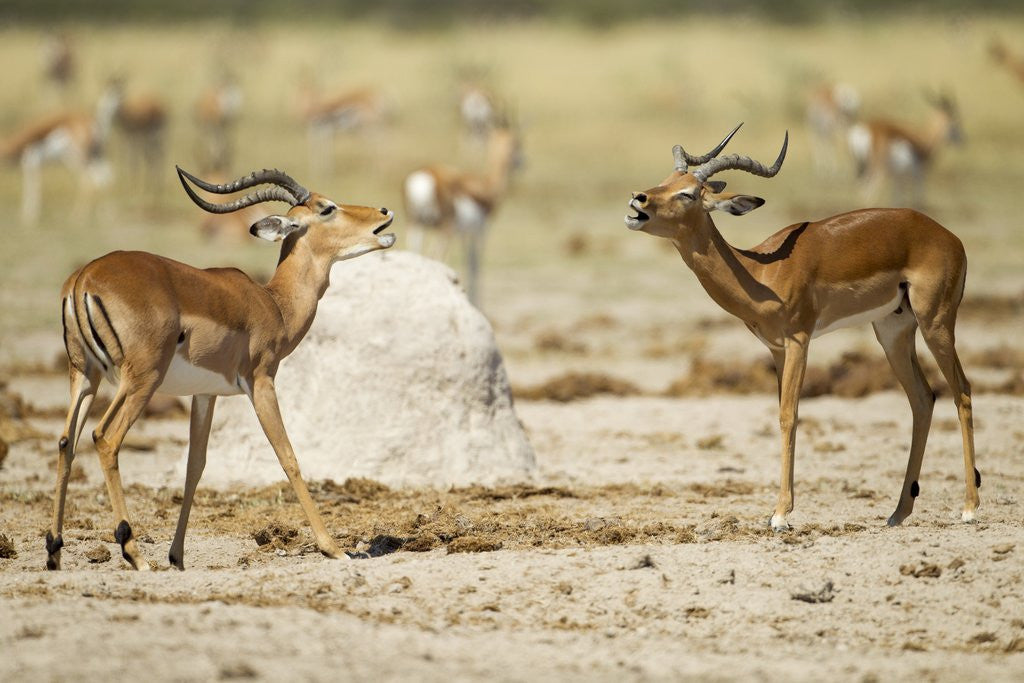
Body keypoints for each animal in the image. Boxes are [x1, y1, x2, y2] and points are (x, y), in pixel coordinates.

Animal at [1, 89, 119, 225]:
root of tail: (95, 124)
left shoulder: (32, 164)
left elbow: (32, 187)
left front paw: (29, 217)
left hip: (77, 159)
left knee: (88, 181)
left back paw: (77, 218)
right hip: (95, 157)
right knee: (104, 178)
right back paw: (106, 215)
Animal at [48, 167, 396, 571]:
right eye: (327, 208)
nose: (384, 212)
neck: (275, 305)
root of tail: (83, 279)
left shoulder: (205, 393)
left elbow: (195, 465)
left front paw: (177, 557)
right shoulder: (261, 382)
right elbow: (288, 457)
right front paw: (334, 548)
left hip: (85, 377)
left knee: (66, 441)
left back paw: (54, 552)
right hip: (140, 380)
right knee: (105, 437)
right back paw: (134, 554)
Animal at [402, 123, 522, 304]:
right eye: (517, 143)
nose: (523, 161)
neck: (486, 188)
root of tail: (424, 177)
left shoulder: (463, 234)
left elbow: (468, 261)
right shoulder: (481, 231)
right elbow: (475, 264)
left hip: (416, 224)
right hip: (445, 229)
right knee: (435, 256)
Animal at [625, 124, 979, 531]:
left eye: (688, 193)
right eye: (666, 180)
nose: (638, 200)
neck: (761, 274)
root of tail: (950, 237)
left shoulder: (799, 341)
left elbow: (788, 416)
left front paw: (780, 514)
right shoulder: (777, 349)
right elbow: (781, 412)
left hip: (936, 321)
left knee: (962, 391)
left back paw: (970, 508)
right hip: (892, 330)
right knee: (922, 398)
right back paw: (898, 512)